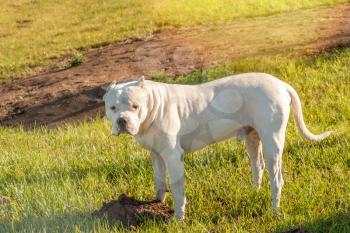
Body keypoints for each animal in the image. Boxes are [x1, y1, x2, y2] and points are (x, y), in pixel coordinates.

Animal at [102, 73, 330, 220]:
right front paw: (155, 204)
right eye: (112, 107)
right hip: (253, 139)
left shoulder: (173, 157)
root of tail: (281, 84)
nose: (122, 121)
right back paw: (254, 192)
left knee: (277, 179)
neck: (152, 103)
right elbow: (159, 181)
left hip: (272, 142)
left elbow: (177, 189)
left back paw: (274, 209)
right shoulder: (156, 154)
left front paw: (178, 218)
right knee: (258, 166)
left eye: (135, 106)